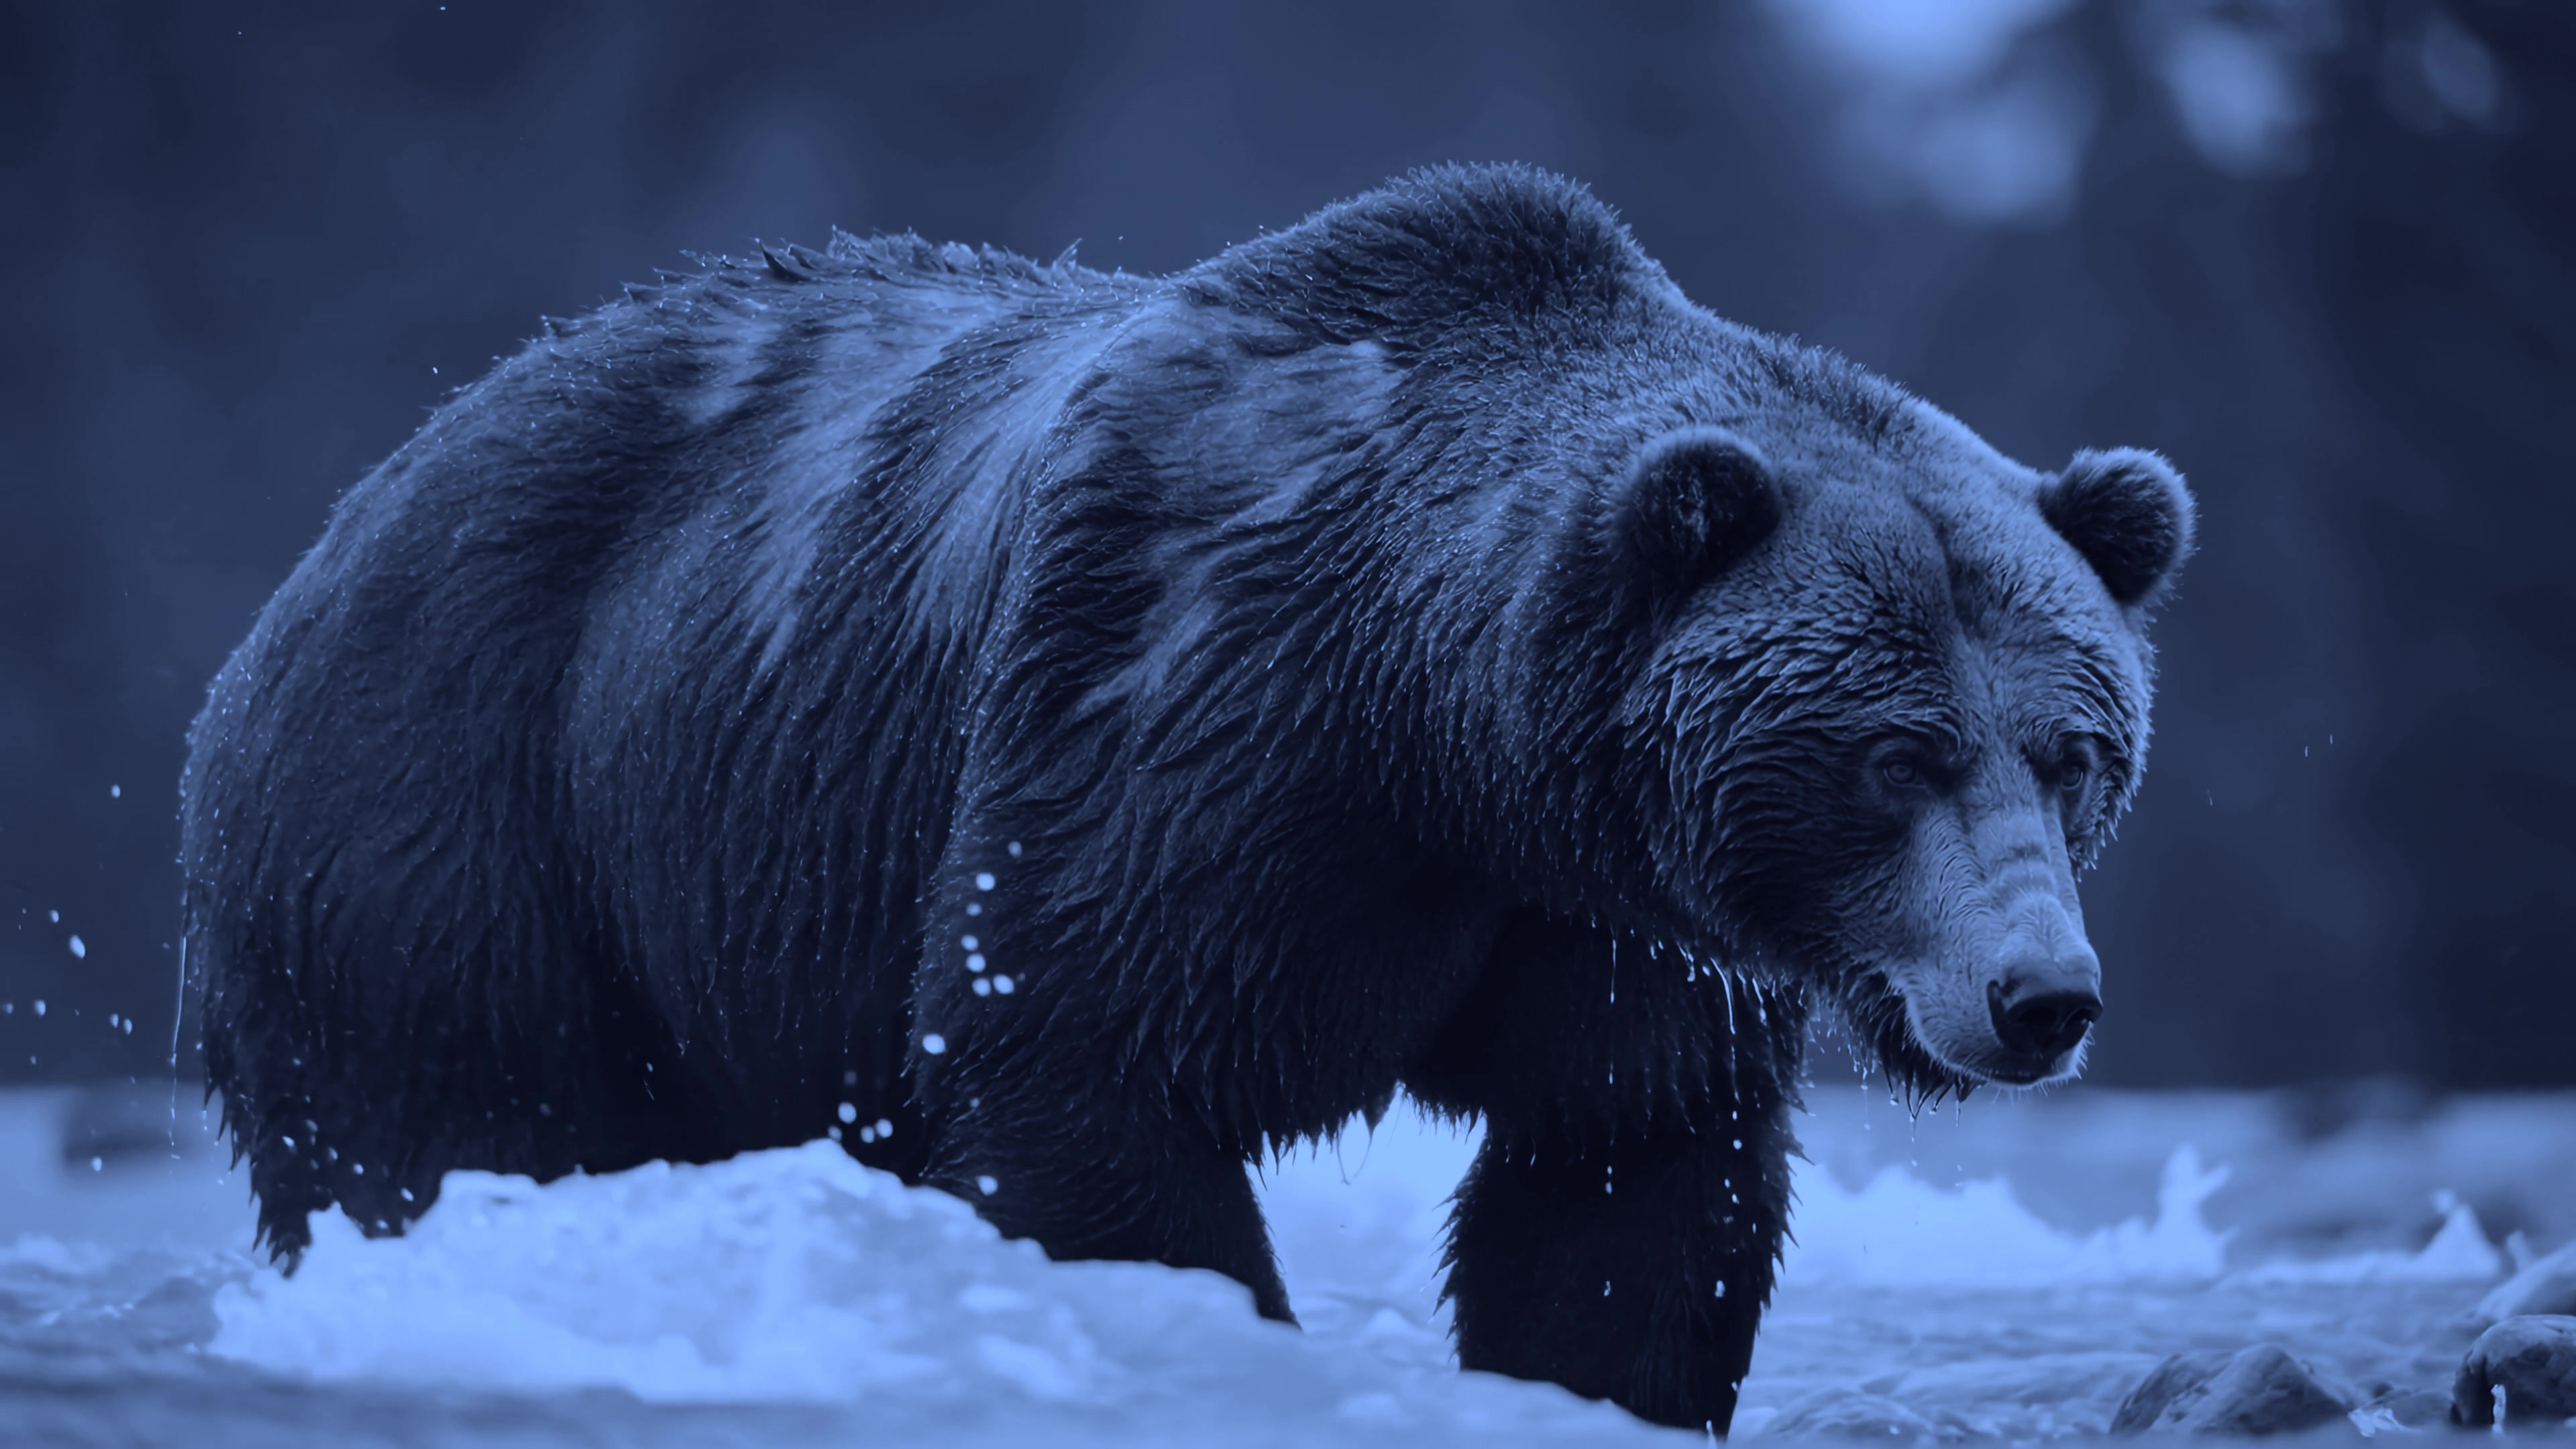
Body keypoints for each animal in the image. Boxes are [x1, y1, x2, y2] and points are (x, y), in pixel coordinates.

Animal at [181, 163, 2191, 1434]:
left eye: (2074, 752)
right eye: (1895, 752)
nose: (2037, 995)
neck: (1439, 734)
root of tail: (342, 527)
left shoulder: (1605, 927)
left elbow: (1623, 1182)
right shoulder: (1169, 723)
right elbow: (1084, 1084)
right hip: (467, 820)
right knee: (448, 1135)